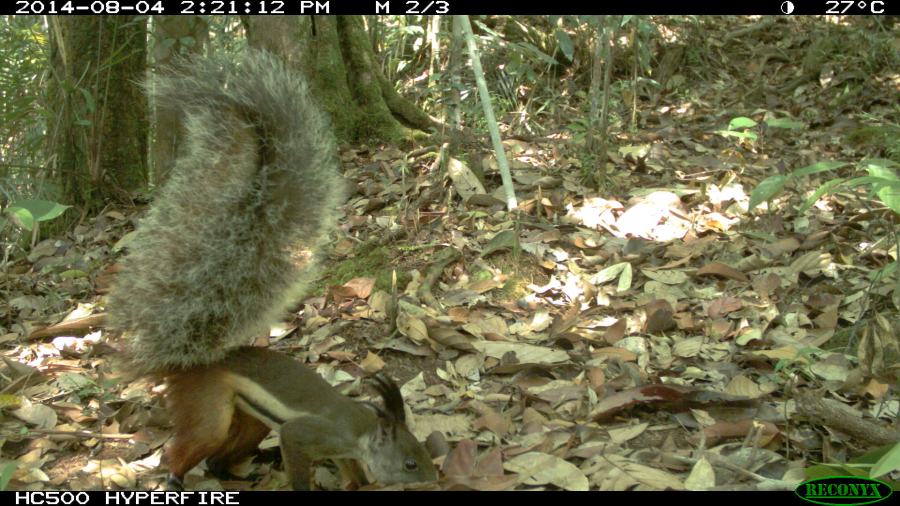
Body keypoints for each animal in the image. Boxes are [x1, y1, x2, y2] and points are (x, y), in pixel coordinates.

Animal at [106, 50, 437, 490]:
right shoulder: (305, 435)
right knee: (187, 448)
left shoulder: (342, 452)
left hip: (250, 418)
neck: (358, 430)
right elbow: (299, 455)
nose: (435, 477)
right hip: (209, 407)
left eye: (423, 451)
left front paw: (359, 485)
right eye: (410, 463)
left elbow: (353, 474)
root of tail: (190, 364)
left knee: (220, 457)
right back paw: (175, 477)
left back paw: (242, 467)